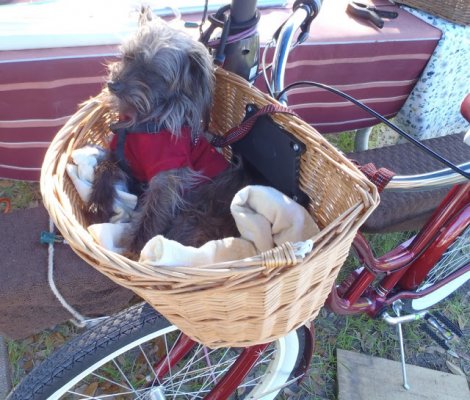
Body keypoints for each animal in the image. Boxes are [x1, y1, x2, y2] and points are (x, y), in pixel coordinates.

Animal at [89, 12, 250, 258]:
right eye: (128, 57)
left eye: (152, 72)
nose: (113, 85)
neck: (144, 121)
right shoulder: (117, 154)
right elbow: (103, 169)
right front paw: (97, 204)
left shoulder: (167, 178)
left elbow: (153, 213)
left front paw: (135, 249)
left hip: (195, 212)